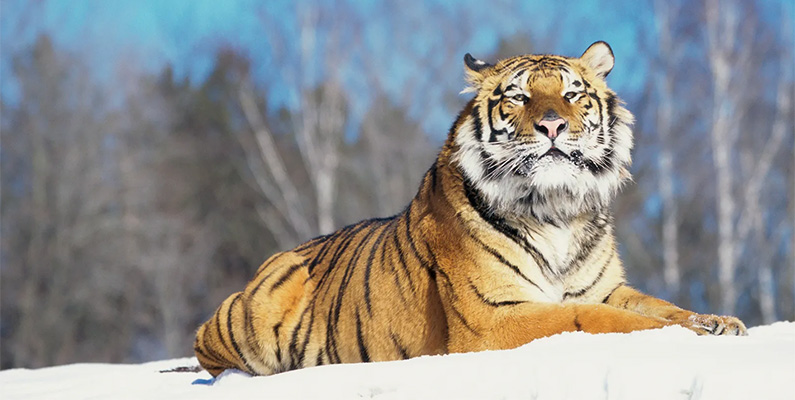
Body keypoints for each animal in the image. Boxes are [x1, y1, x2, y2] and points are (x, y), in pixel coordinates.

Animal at [196, 42, 748, 376]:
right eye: (518, 97)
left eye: (573, 94)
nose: (552, 125)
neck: (556, 209)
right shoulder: (494, 317)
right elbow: (591, 318)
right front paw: (685, 334)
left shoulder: (606, 287)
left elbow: (658, 304)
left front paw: (718, 321)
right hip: (253, 311)